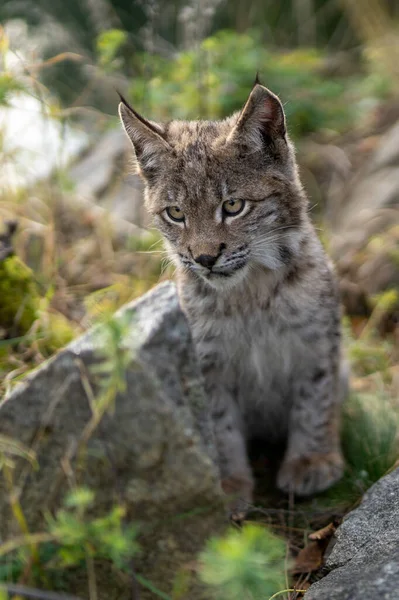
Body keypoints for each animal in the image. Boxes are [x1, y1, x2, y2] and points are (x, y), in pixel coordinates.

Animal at [119, 82, 346, 516]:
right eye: (176, 214)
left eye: (233, 206)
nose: (205, 258)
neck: (250, 292)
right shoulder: (206, 363)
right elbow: (219, 427)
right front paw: (228, 485)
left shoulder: (315, 342)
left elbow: (315, 399)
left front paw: (311, 460)